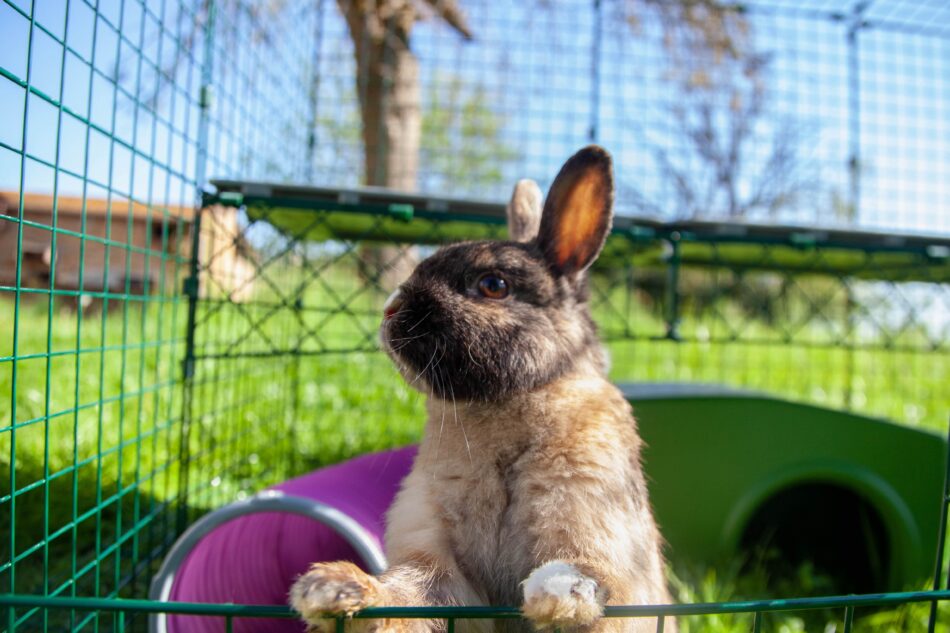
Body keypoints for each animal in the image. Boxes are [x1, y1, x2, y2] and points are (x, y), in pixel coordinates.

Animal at [294, 147, 672, 632]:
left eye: (494, 285)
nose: (390, 309)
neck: (508, 406)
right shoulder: (438, 562)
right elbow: (408, 594)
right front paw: (329, 589)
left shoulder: (597, 527)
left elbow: (591, 576)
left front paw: (554, 592)